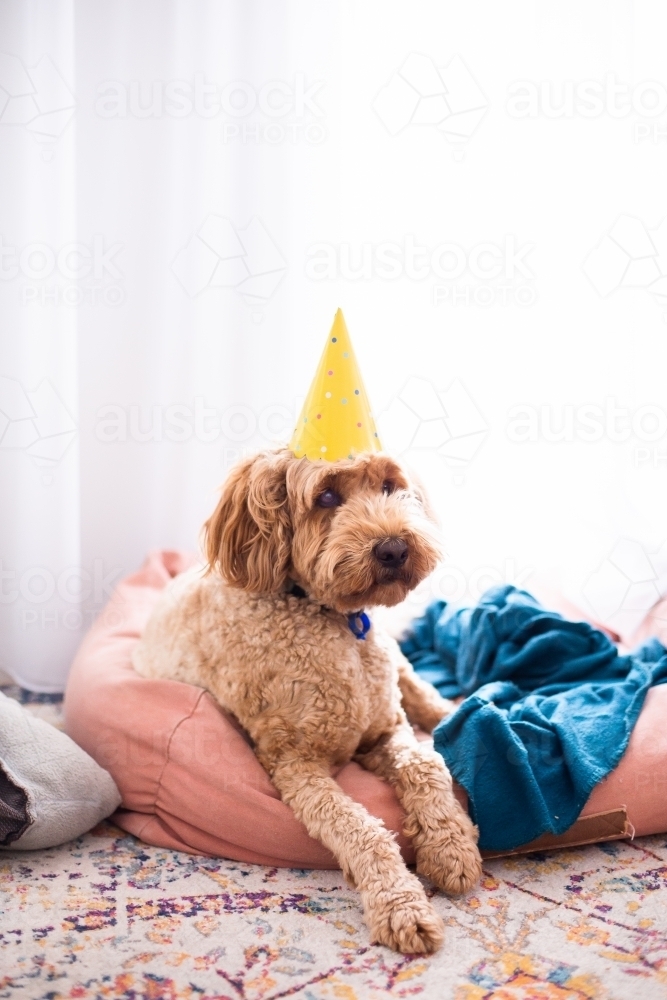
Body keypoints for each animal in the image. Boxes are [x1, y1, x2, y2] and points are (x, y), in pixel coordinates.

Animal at [133, 448, 482, 952]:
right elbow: (362, 829)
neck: (329, 618)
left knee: (422, 695)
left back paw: (464, 714)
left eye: (388, 486)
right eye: (327, 497)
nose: (394, 549)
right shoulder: (296, 766)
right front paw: (402, 907)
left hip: (395, 664)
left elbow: (425, 764)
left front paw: (452, 849)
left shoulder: (386, 729)